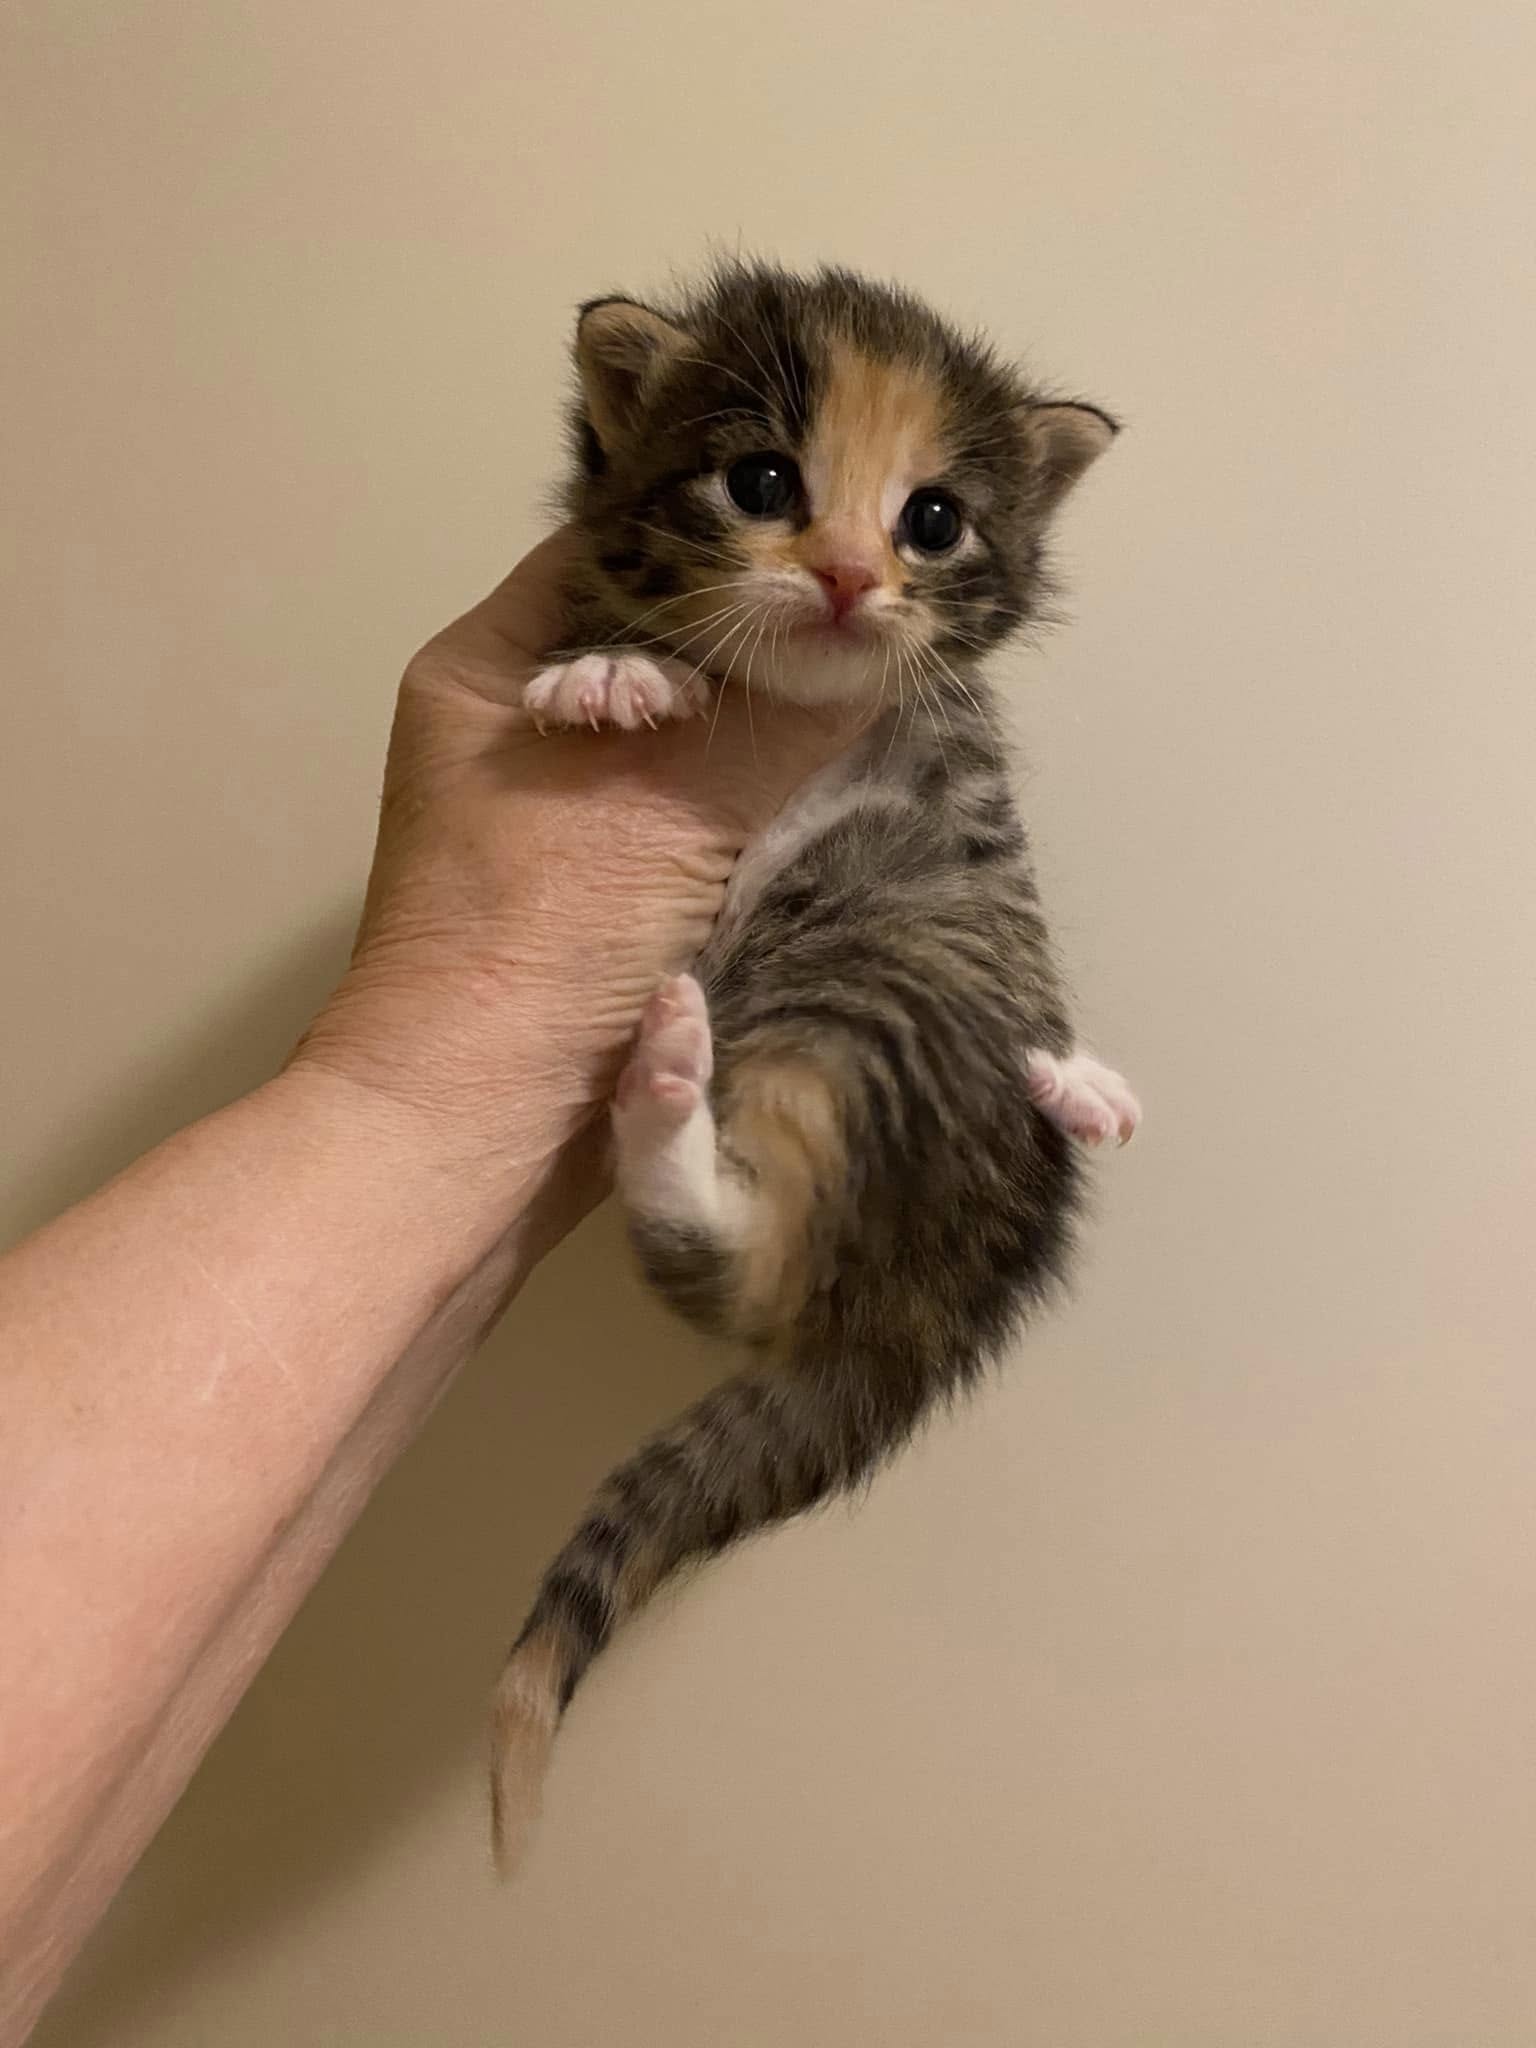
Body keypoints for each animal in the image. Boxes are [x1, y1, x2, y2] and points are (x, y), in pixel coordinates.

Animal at [491, 261, 1139, 1874]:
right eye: (764, 483)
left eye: (933, 520)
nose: (848, 574)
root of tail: (938, 1295)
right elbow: (593, 645)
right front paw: (607, 673)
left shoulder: (969, 841)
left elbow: (1022, 942)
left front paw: (1072, 1060)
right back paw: (666, 1079)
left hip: (871, 1003)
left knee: (745, 1264)